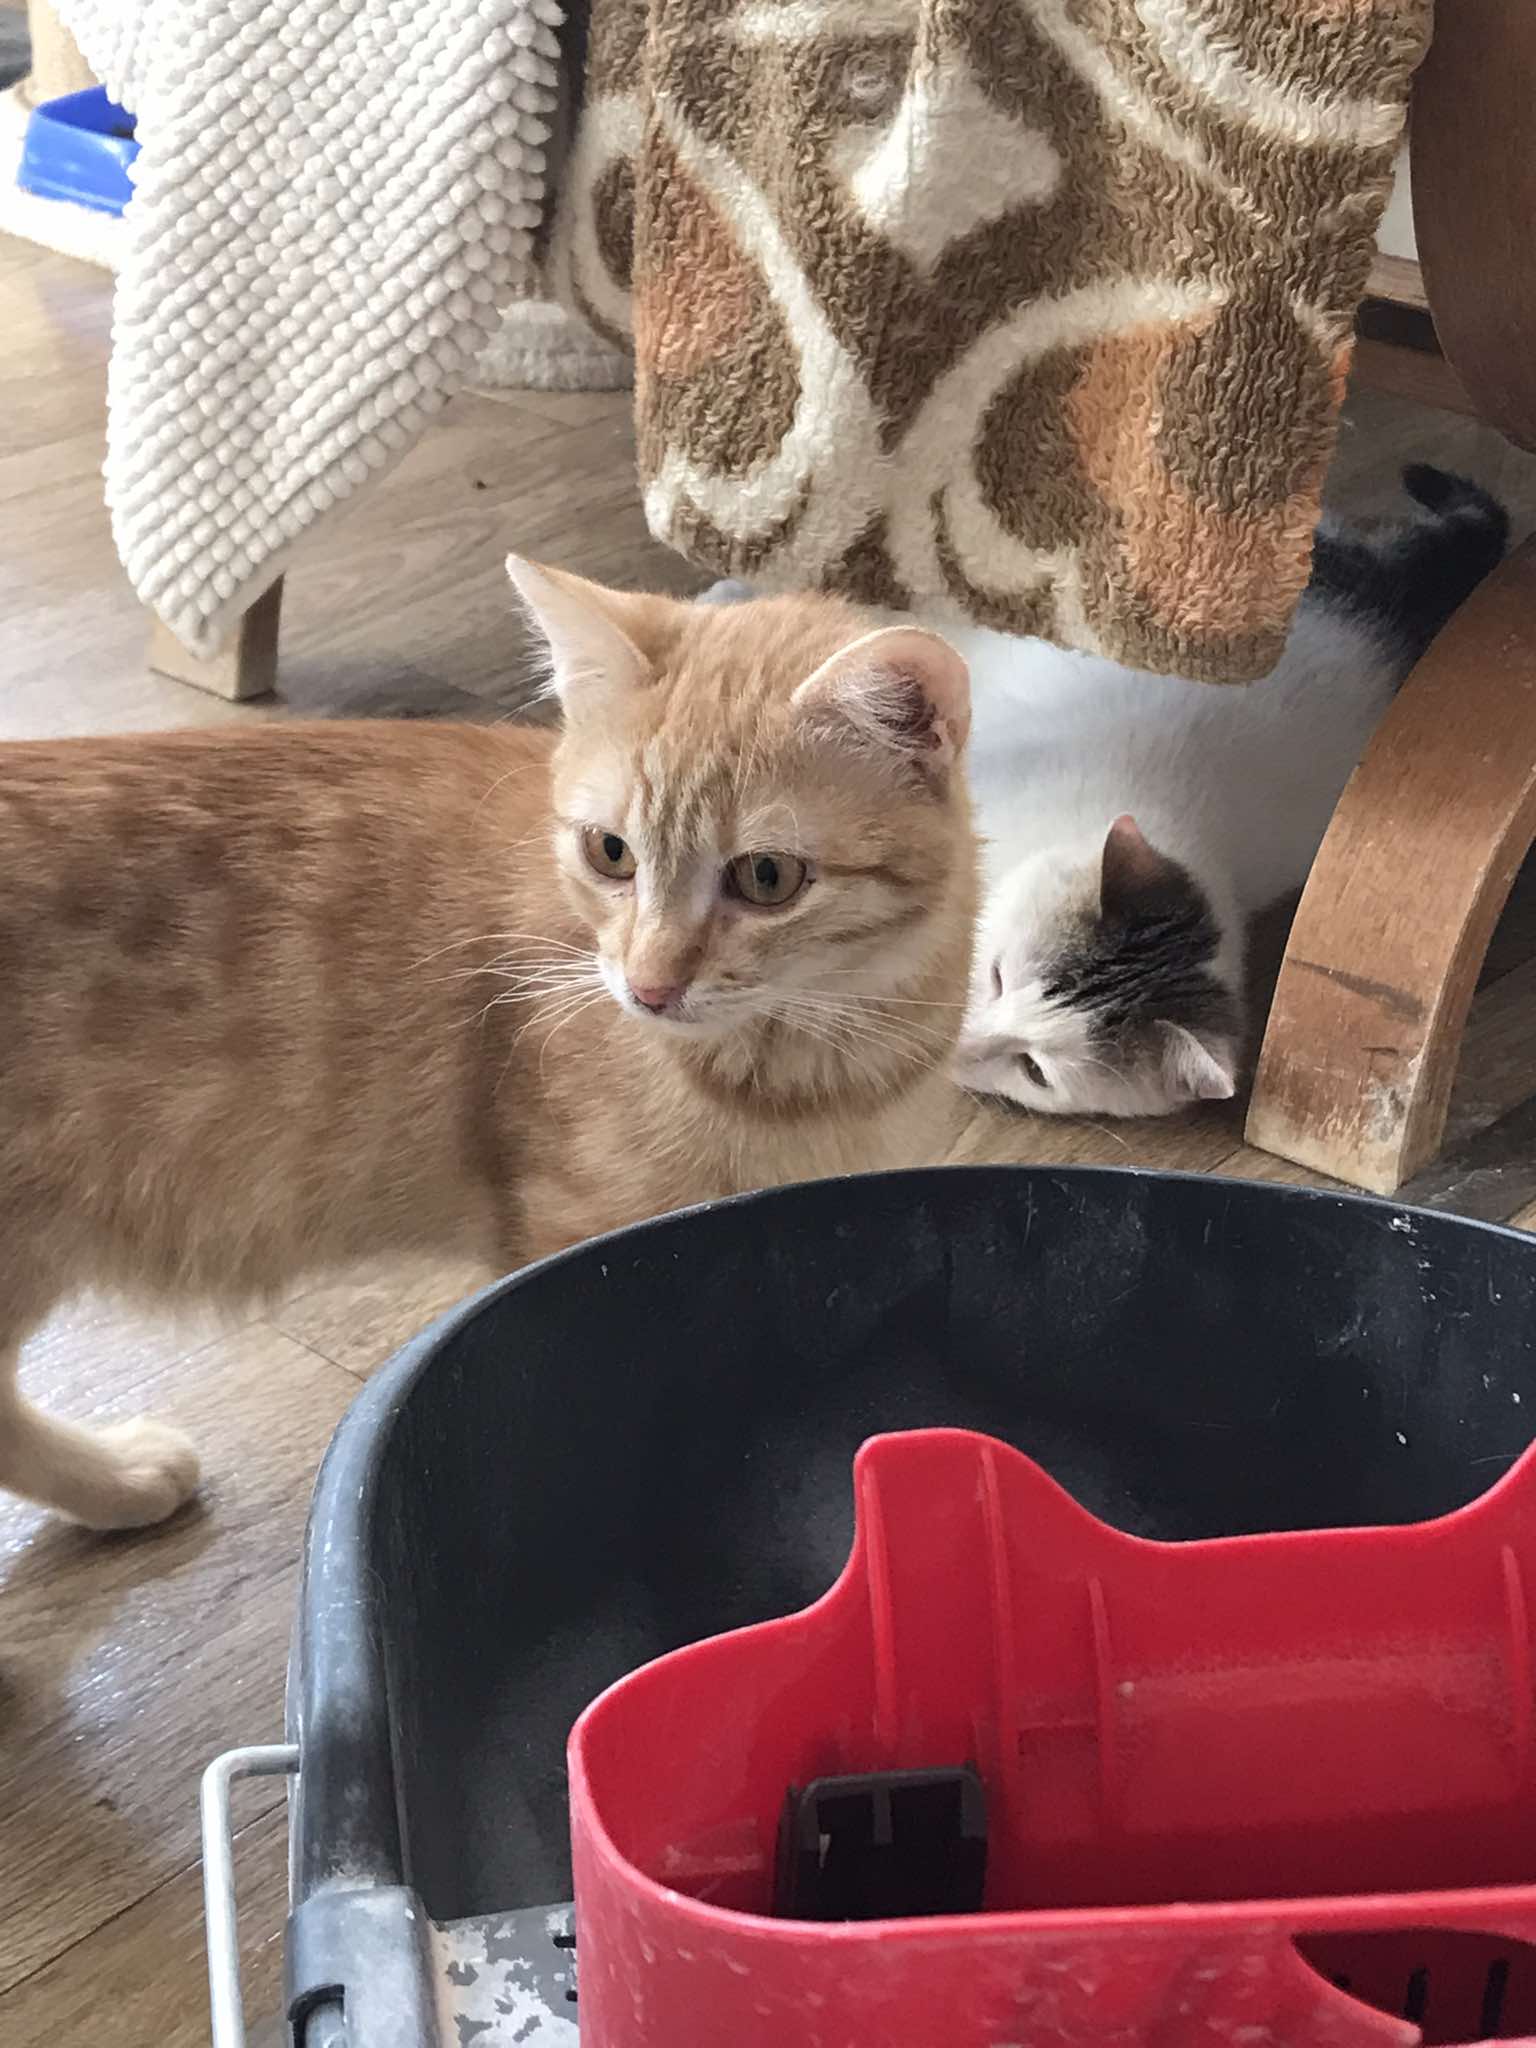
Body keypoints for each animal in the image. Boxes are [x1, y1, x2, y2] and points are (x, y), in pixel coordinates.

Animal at [0, 565, 976, 1530]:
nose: (648, 987)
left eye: (767, 877)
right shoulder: (578, 1244)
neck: (815, 1063)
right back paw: (120, 1478)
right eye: (611, 852)